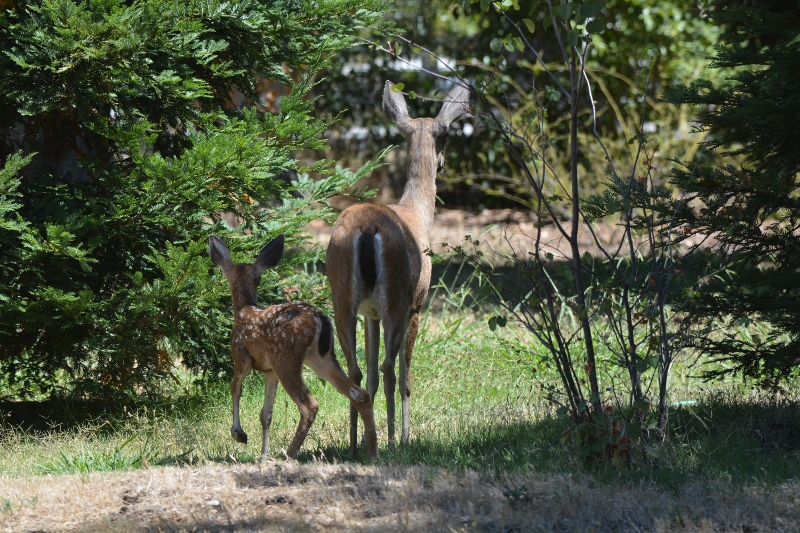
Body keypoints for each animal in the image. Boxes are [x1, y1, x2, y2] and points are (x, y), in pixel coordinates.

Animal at [209, 235, 378, 460]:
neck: (244, 310)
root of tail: (322, 320)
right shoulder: (269, 370)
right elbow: (266, 415)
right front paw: (263, 456)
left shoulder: (241, 355)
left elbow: (235, 388)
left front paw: (239, 433)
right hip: (321, 359)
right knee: (360, 393)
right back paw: (373, 453)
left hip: (286, 360)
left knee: (310, 406)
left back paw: (289, 454)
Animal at [328, 79, 472, 454]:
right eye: (446, 135)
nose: (443, 163)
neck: (418, 213)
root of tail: (366, 230)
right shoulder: (417, 304)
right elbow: (405, 375)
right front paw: (403, 436)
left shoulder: (370, 314)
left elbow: (369, 375)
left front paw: (367, 436)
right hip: (396, 295)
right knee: (390, 368)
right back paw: (392, 442)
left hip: (341, 297)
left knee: (355, 370)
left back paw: (356, 445)